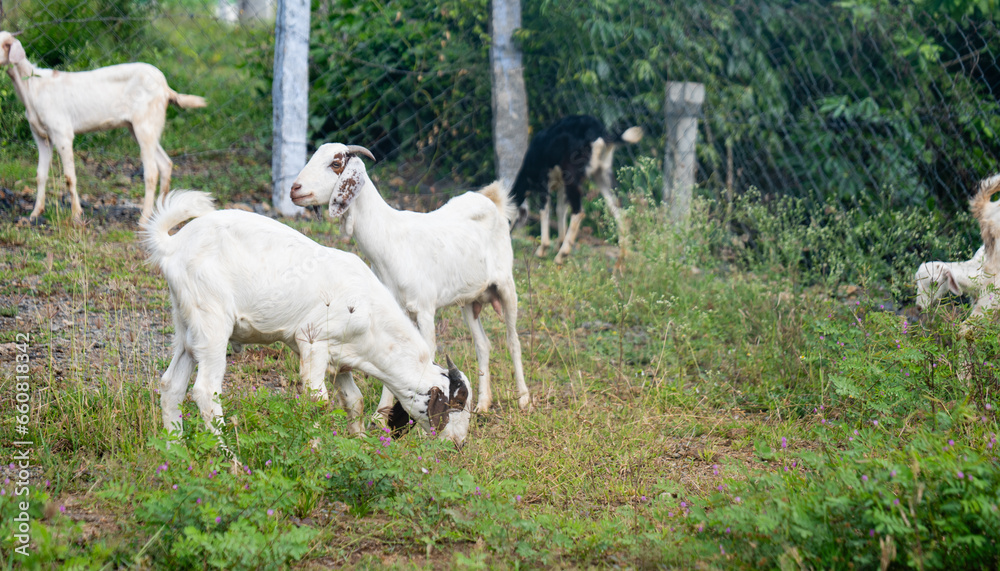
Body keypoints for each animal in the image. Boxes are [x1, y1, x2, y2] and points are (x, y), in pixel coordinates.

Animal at [0, 30, 207, 223]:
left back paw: (143, 219)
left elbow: (69, 176)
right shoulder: (41, 136)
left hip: (145, 124)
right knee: (165, 164)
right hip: (141, 127)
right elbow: (40, 175)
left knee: (152, 171)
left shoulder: (62, 132)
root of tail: (165, 87)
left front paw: (76, 215)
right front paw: (35, 213)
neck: (32, 87)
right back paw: (161, 214)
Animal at [139, 190, 474, 450]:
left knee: (171, 386)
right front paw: (314, 446)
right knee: (205, 391)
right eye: (456, 405)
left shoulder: (342, 358)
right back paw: (227, 457)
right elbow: (318, 401)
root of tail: (174, 244)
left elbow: (354, 400)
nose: (459, 444)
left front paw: (360, 442)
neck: (371, 317)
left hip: (186, 327)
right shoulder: (313, 341)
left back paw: (175, 450)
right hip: (211, 325)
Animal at [292, 143, 532, 422]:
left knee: (513, 341)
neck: (389, 241)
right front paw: (380, 417)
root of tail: (493, 202)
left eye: (336, 164)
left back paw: (524, 399)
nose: (295, 189)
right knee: (483, 344)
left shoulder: (425, 309)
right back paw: (483, 404)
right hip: (469, 300)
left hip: (506, 286)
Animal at [512, 114, 644, 266]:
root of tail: (600, 132)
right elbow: (560, 210)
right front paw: (558, 243)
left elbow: (544, 210)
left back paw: (561, 256)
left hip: (573, 175)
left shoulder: (543, 180)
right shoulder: (560, 185)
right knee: (618, 208)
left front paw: (543, 249)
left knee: (579, 211)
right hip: (602, 173)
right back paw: (624, 254)